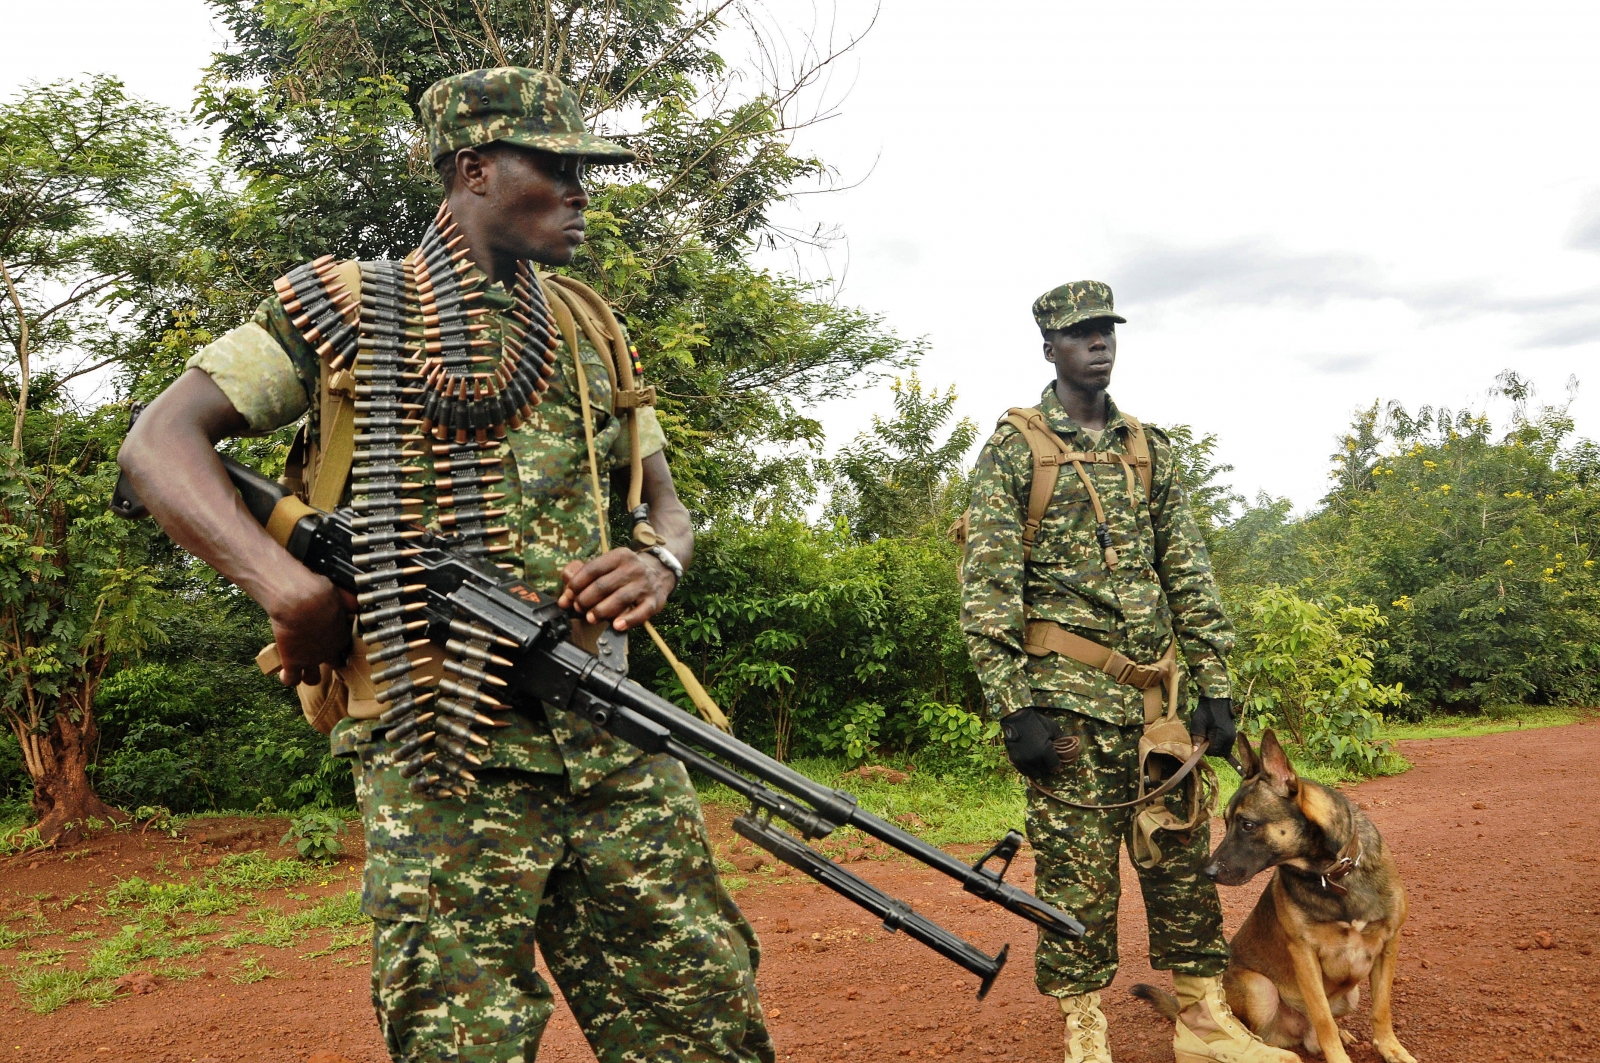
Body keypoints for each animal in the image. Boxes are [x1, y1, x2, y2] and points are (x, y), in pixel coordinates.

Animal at [1132, 730, 1420, 1063]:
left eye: (1247, 824)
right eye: (1225, 822)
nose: (1208, 872)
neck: (1333, 876)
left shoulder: (1388, 944)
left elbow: (1380, 1009)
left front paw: (1390, 1048)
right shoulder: (1304, 954)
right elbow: (1323, 1018)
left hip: (1351, 993)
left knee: (1315, 1034)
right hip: (1260, 988)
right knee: (1262, 1031)